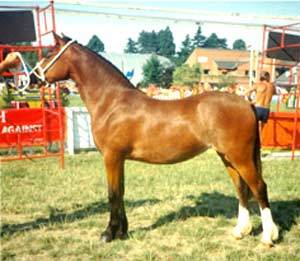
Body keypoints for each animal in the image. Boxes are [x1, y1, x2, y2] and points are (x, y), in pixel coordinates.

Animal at [33, 33, 278, 246]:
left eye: (49, 53)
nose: (32, 77)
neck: (112, 101)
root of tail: (247, 104)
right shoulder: (119, 159)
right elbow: (121, 192)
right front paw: (122, 232)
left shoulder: (111, 157)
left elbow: (112, 194)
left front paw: (108, 234)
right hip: (227, 157)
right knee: (242, 189)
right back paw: (240, 231)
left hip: (240, 157)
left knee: (259, 187)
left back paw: (267, 237)